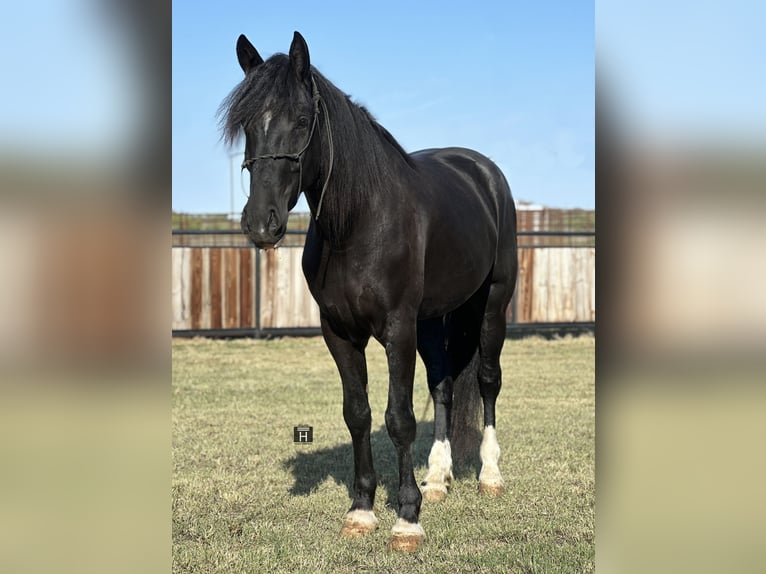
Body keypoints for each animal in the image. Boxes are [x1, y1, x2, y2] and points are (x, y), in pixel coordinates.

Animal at [222, 32, 520, 552]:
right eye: (246, 125)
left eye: (303, 120)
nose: (261, 223)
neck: (358, 223)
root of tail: (482, 171)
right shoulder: (340, 333)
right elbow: (357, 414)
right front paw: (362, 510)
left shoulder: (397, 329)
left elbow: (398, 418)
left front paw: (407, 518)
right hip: (433, 319)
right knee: (443, 386)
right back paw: (438, 479)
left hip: (491, 307)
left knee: (486, 381)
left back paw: (490, 475)